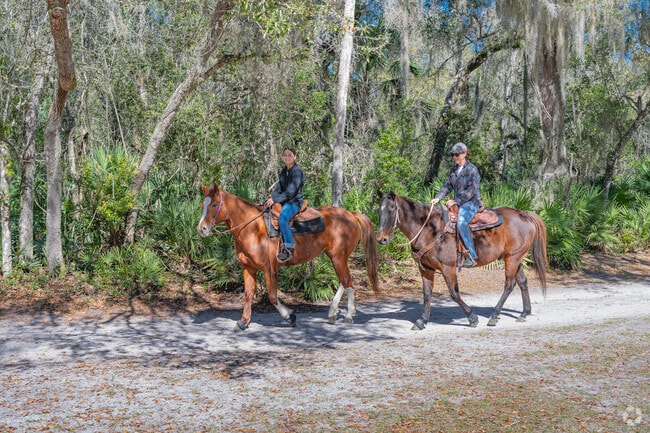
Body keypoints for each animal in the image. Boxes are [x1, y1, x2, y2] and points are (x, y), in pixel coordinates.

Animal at [197, 183, 380, 330]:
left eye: (214, 204)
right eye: (202, 204)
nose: (202, 229)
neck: (252, 228)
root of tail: (350, 214)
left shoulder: (269, 268)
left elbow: (272, 296)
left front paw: (289, 316)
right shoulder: (248, 268)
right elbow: (248, 294)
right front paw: (243, 322)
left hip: (338, 257)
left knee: (347, 279)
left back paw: (347, 315)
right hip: (336, 257)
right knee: (344, 280)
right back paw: (334, 312)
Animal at [376, 192, 547, 329]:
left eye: (392, 210)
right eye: (379, 210)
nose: (381, 239)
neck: (429, 230)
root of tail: (523, 214)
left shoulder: (448, 268)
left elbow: (454, 293)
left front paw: (472, 318)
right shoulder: (425, 269)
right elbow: (427, 294)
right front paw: (422, 321)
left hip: (512, 259)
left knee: (509, 284)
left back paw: (494, 316)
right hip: (514, 257)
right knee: (522, 282)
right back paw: (524, 314)